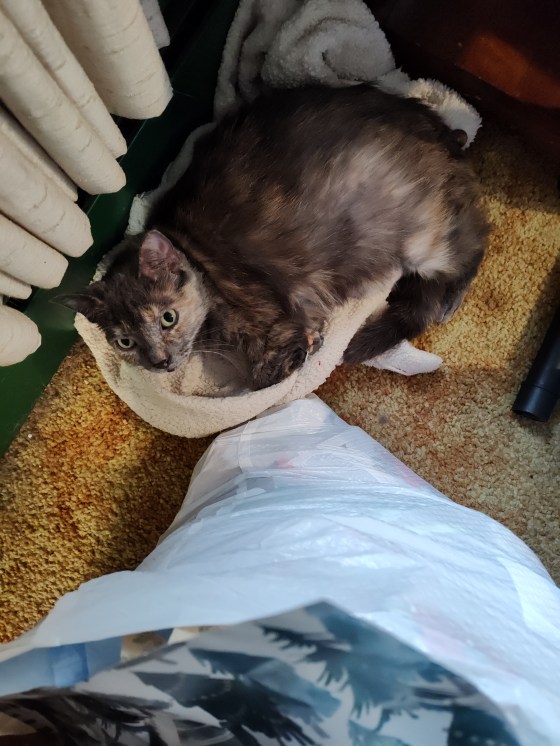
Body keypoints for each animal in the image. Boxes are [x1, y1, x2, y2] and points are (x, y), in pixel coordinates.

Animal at [59, 84, 488, 390]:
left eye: (167, 318)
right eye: (125, 343)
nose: (159, 361)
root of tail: (443, 132)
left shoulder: (275, 320)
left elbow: (266, 374)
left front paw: (311, 345)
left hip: (422, 239)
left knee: (474, 244)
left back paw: (447, 302)